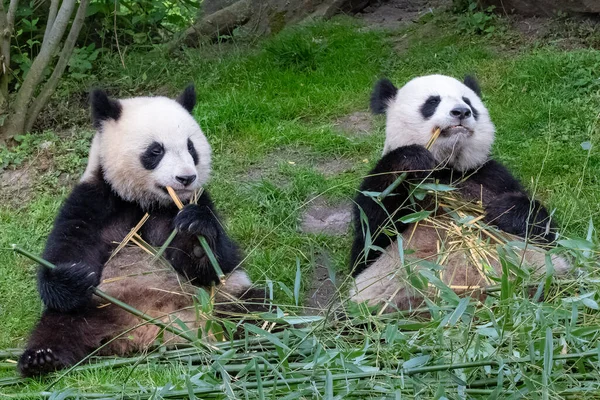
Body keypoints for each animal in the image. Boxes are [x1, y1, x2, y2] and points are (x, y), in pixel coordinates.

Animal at [17, 86, 266, 376]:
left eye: (191, 147)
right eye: (156, 150)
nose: (186, 178)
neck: (144, 201)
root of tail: (150, 331)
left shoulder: (198, 201)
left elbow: (219, 263)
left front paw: (196, 237)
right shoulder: (91, 202)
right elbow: (64, 253)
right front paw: (75, 276)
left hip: (219, 298)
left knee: (254, 307)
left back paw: (263, 338)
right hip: (97, 305)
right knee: (60, 324)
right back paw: (42, 359)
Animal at [350, 74, 568, 312]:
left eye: (468, 101)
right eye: (432, 102)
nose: (462, 112)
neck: (448, 168)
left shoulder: (490, 174)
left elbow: (545, 231)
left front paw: (504, 210)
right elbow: (370, 238)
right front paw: (412, 159)